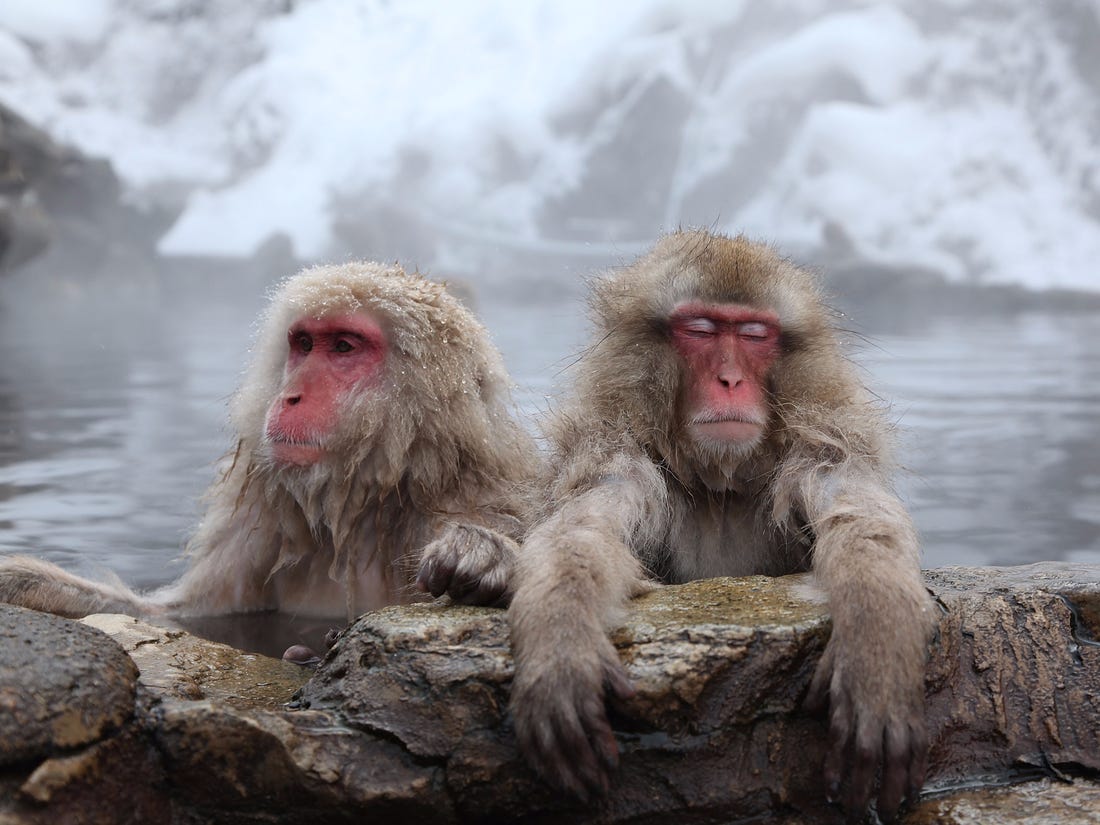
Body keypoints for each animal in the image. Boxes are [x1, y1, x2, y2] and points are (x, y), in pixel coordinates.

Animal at [0, 261, 538, 626]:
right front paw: (23, 581)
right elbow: (184, 613)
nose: (290, 395)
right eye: (304, 344)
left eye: (344, 346)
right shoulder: (262, 525)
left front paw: (484, 557)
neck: (365, 507)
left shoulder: (480, 499)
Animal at [508, 230, 935, 821]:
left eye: (754, 334)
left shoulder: (821, 446)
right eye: (701, 329)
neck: (721, 488)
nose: (729, 380)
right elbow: (581, 532)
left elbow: (860, 517)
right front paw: (559, 647)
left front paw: (879, 646)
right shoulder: (617, 453)